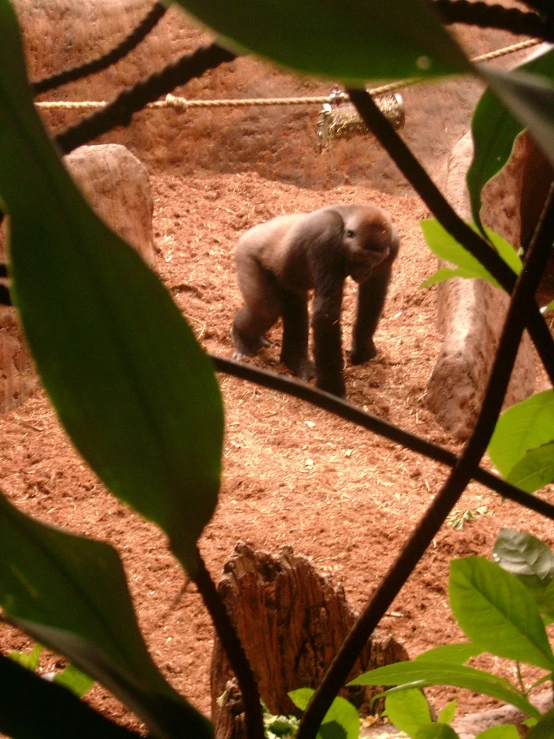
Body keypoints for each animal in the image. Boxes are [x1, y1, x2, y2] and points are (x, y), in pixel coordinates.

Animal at [231, 202, 398, 398]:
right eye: (360, 256)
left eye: (375, 259)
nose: (364, 271)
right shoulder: (326, 238)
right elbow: (326, 312)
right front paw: (332, 388)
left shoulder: (392, 244)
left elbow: (373, 293)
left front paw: (363, 349)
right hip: (246, 254)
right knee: (265, 310)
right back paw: (241, 338)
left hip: (287, 280)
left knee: (294, 310)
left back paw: (295, 361)